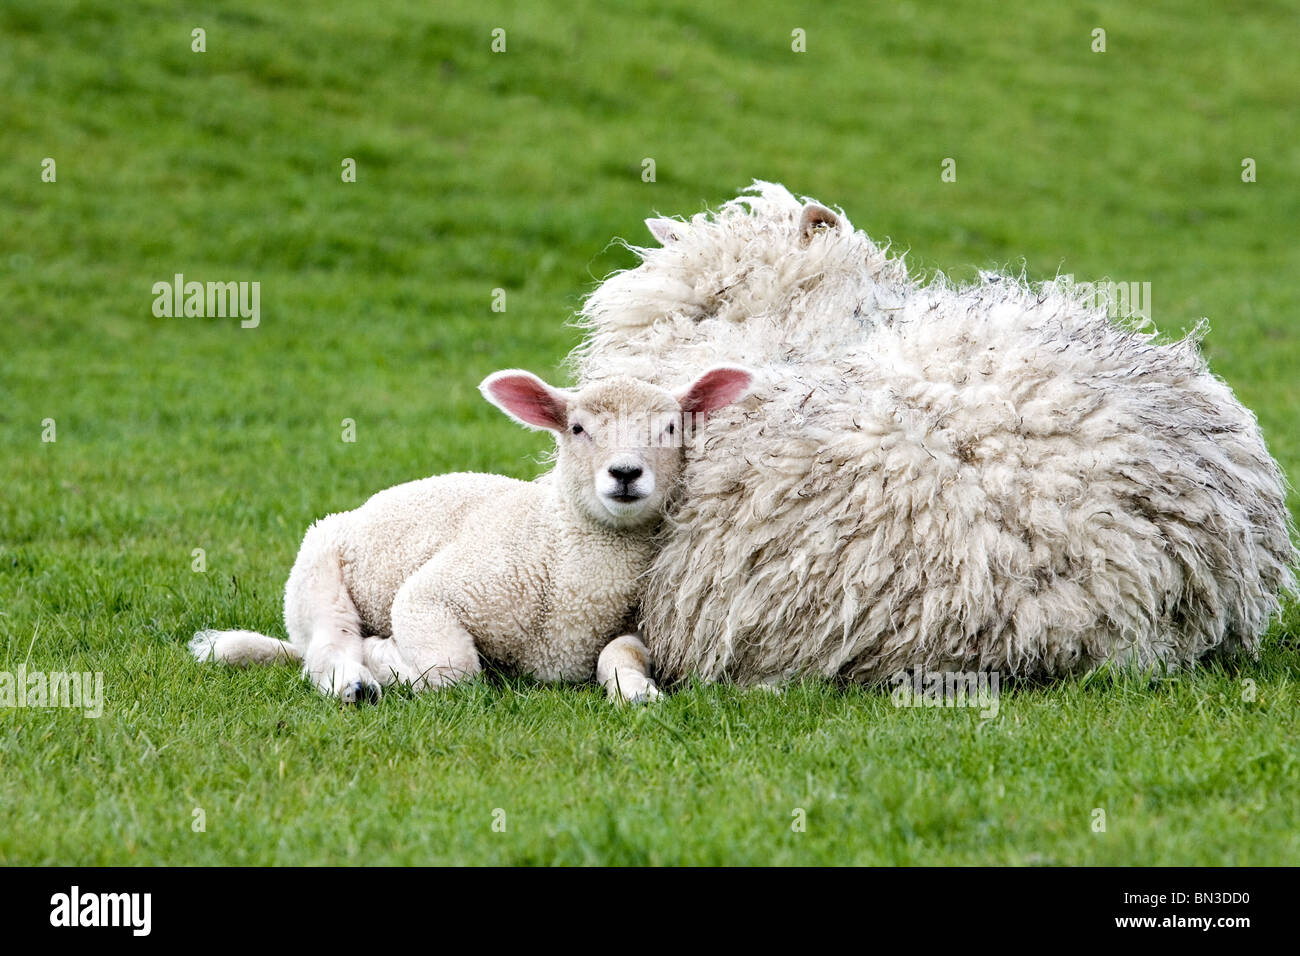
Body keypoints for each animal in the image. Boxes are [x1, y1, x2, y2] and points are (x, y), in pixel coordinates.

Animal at [190, 366, 755, 703]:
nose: (625, 473)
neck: (558, 546)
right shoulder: (436, 595)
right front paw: (385, 656)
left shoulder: (637, 627)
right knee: (327, 647)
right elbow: (452, 670)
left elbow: (619, 654)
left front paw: (636, 692)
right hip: (316, 573)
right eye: (576, 429)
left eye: (671, 428)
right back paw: (356, 680)